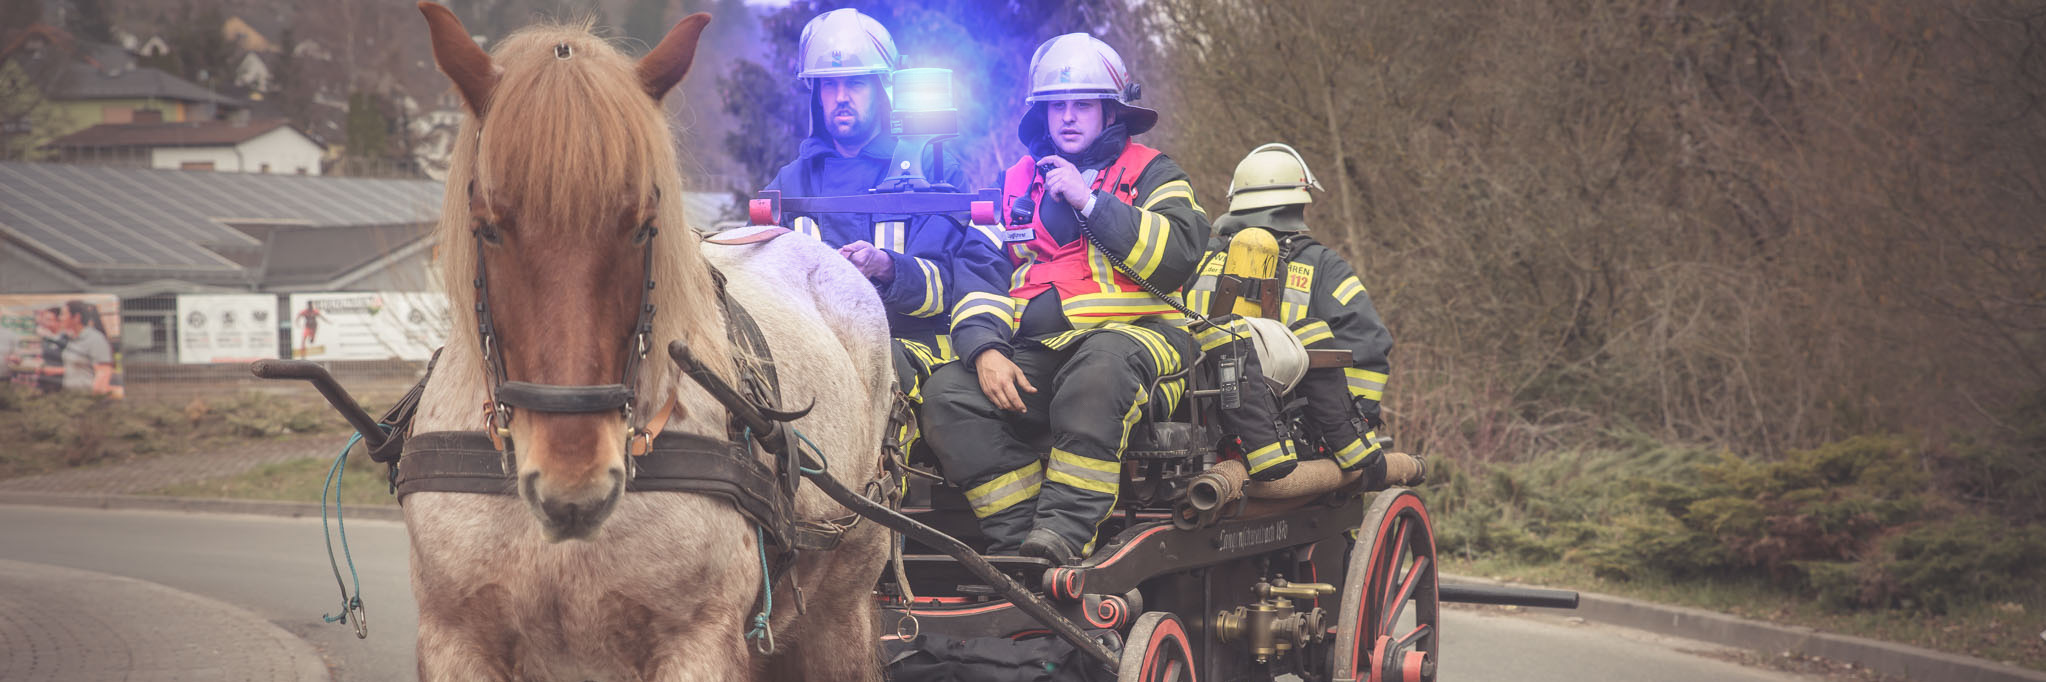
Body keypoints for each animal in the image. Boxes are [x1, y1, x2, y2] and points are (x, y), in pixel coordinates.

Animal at [407, 3, 896, 675]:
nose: (574, 486)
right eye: (488, 227)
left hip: (840, 614)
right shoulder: (453, 640)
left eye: (643, 226)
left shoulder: (698, 644)